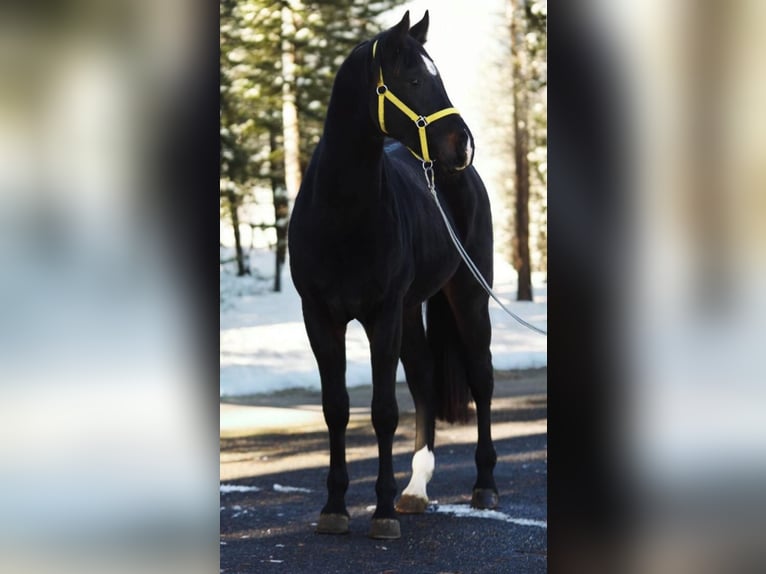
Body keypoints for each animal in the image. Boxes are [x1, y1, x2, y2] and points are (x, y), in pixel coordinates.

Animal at [288, 10, 498, 544]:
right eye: (415, 79)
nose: (463, 144)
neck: (342, 214)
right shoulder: (320, 317)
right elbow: (337, 407)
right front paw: (335, 508)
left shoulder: (380, 316)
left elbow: (384, 411)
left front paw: (380, 513)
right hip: (410, 310)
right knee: (424, 381)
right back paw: (415, 490)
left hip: (468, 296)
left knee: (482, 380)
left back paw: (484, 486)